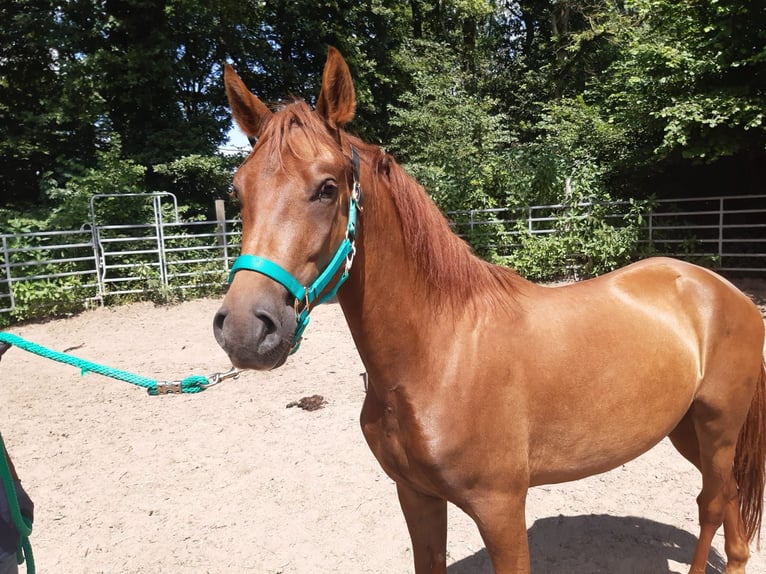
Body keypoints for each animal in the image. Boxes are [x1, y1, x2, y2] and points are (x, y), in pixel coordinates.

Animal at [213, 47, 766, 574]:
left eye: (328, 187)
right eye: (238, 190)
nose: (244, 329)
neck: (441, 355)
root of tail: (726, 292)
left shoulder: (500, 509)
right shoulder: (416, 496)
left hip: (717, 427)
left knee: (712, 503)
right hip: (687, 429)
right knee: (730, 499)